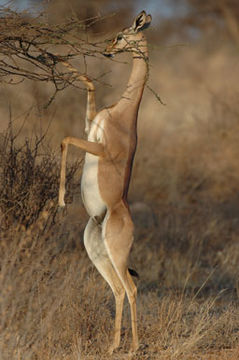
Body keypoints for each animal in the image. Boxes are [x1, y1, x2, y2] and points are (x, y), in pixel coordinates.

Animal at [58, 9, 151, 352]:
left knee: (132, 289)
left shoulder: (96, 144)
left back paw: (133, 346)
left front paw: (60, 200)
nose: (108, 49)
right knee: (118, 290)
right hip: (97, 253)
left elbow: (65, 139)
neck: (123, 112)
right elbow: (89, 85)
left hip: (115, 254)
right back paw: (113, 345)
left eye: (122, 35)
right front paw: (61, 60)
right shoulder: (90, 127)